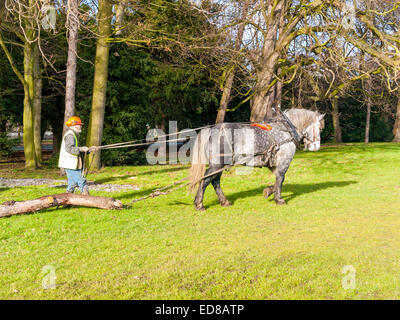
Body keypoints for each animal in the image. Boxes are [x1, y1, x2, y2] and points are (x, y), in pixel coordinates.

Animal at [188, 109, 324, 211]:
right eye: (320, 128)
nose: (316, 147)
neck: (286, 130)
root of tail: (211, 130)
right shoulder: (283, 162)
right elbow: (281, 179)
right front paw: (279, 199)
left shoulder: (272, 163)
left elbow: (277, 180)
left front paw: (268, 191)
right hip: (217, 164)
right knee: (206, 180)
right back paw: (199, 204)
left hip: (221, 165)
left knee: (215, 181)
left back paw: (224, 201)